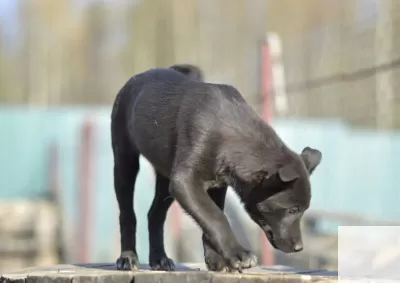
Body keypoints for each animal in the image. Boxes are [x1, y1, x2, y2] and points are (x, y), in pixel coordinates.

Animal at [110, 63, 322, 272]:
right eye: (292, 210)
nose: (299, 248)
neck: (229, 132)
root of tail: (137, 77)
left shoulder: (217, 185)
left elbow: (211, 217)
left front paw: (217, 261)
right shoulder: (184, 182)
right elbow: (216, 217)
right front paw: (238, 254)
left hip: (165, 177)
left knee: (155, 215)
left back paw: (159, 258)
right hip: (125, 161)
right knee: (127, 213)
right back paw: (128, 258)